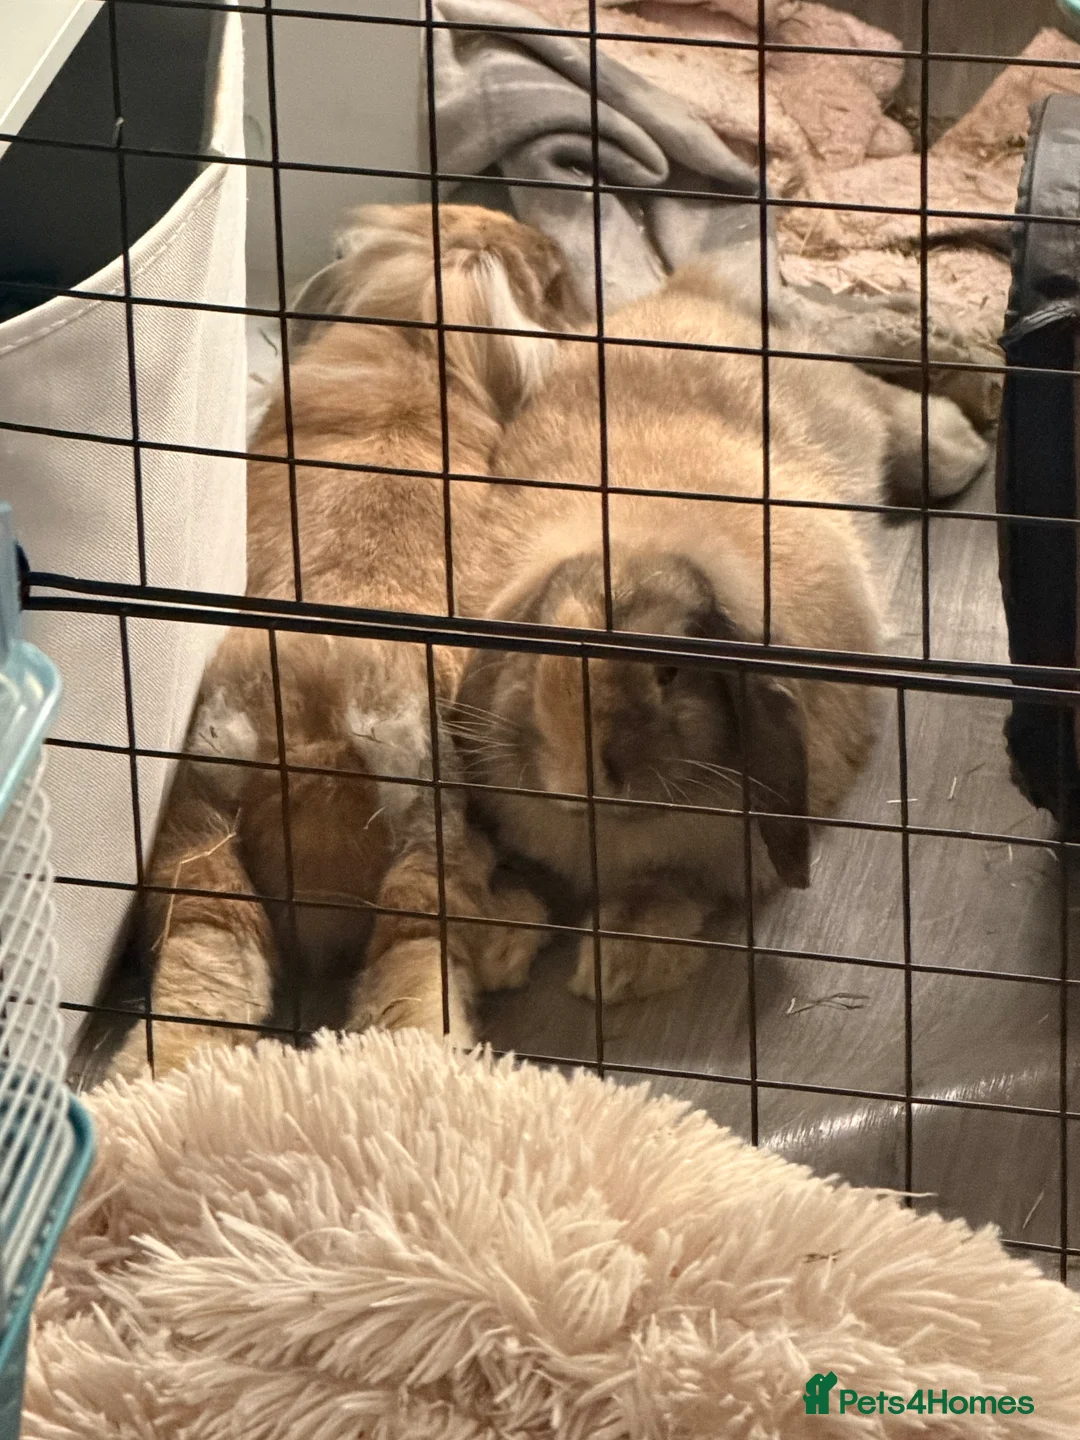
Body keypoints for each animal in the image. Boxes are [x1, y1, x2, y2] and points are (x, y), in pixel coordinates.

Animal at [109, 203, 587, 1078]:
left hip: (197, 838)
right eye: (557, 280)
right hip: (434, 829)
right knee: (420, 963)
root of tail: (314, 729)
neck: (414, 346)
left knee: (210, 962)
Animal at [446, 253, 990, 1007]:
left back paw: (960, 434)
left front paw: (619, 961)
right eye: (538, 659)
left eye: (668, 671)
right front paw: (497, 941)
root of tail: (692, 296)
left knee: (888, 404)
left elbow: (671, 890)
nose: (581, 775)